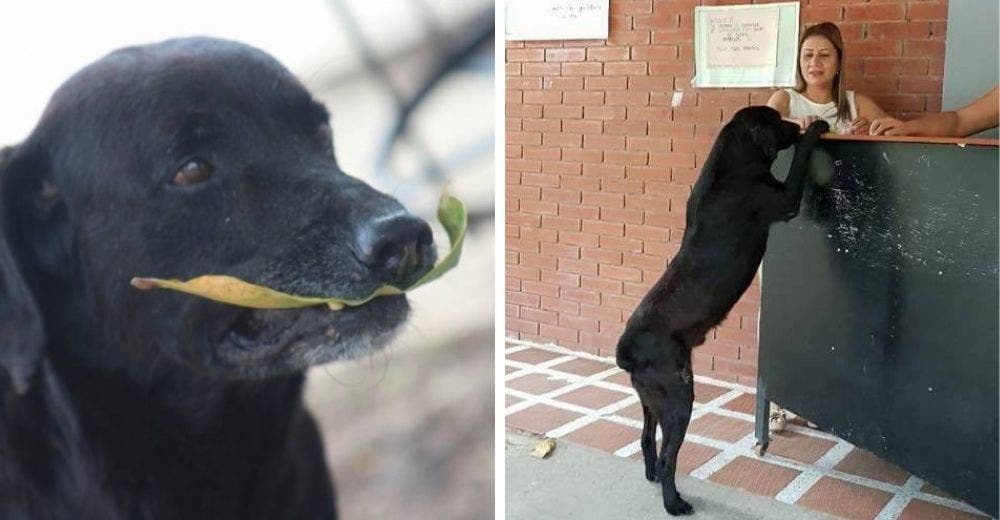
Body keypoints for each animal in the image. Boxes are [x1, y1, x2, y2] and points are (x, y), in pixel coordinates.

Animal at [612, 106, 832, 516]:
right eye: (776, 119)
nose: (795, 125)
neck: (731, 163)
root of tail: (626, 352)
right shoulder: (782, 198)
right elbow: (799, 162)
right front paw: (815, 130)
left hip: (651, 399)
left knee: (647, 439)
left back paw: (652, 478)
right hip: (679, 398)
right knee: (668, 458)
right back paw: (674, 502)